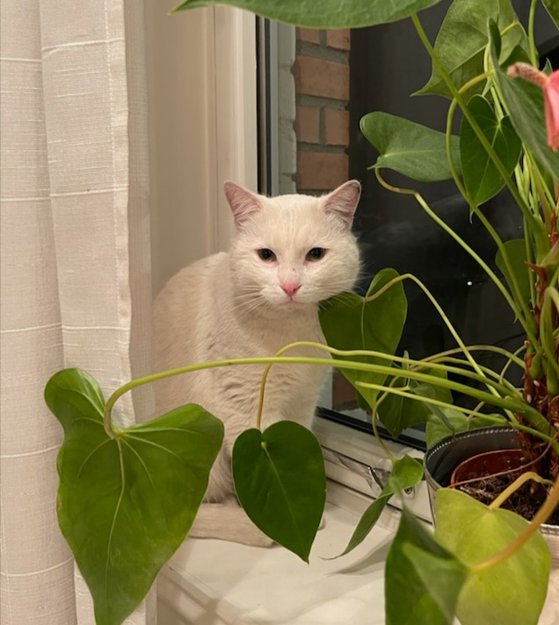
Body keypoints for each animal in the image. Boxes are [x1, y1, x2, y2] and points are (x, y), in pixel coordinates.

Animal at [152, 180, 361, 546]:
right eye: (266, 255)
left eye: (315, 255)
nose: (290, 286)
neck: (291, 336)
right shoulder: (246, 410)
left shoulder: (302, 403)